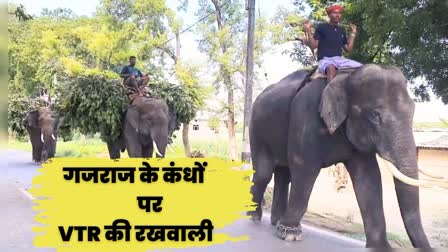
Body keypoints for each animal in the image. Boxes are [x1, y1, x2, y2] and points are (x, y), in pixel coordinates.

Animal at [247, 64, 446, 248]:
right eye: (375, 115)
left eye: (413, 111)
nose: (430, 249)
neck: (347, 75)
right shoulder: (305, 116)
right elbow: (304, 169)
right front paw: (290, 234)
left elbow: (369, 177)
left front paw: (381, 247)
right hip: (256, 128)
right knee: (264, 173)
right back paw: (254, 217)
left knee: (283, 175)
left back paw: (275, 222)